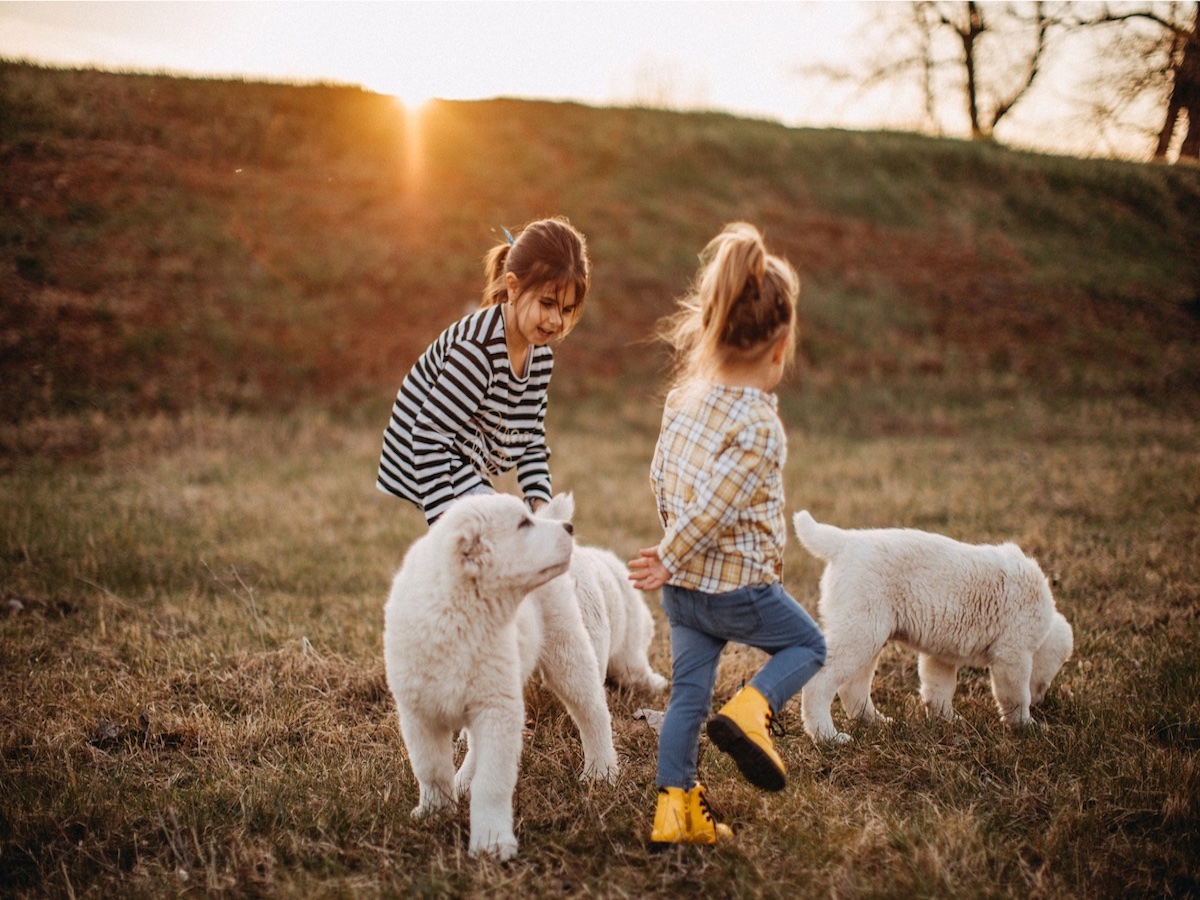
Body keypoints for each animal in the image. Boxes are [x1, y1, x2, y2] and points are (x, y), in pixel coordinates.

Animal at [381, 496, 573, 864]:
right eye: (522, 525)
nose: (570, 527)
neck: (460, 615)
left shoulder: (497, 708)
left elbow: (493, 782)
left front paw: (492, 841)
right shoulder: (418, 713)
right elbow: (431, 769)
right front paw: (434, 812)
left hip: (565, 650)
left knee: (595, 714)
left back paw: (601, 771)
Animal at [792, 511, 1075, 744]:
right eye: (1046, 680)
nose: (1041, 701)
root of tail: (844, 542)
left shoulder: (941, 653)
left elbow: (937, 687)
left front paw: (948, 720)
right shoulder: (1013, 652)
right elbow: (1015, 695)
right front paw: (1027, 726)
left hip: (867, 632)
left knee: (853, 687)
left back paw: (877, 722)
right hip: (859, 631)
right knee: (820, 682)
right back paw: (827, 736)